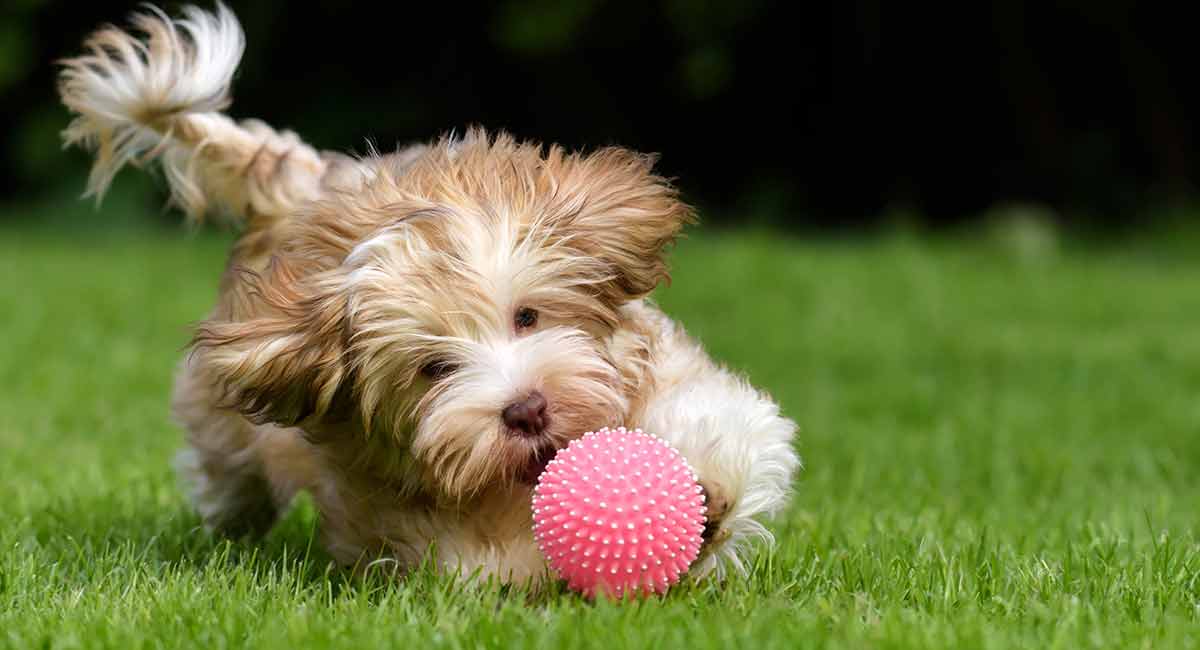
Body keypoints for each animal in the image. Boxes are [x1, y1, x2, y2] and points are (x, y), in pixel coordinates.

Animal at [60, 3, 801, 585]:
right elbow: (474, 560)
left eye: (527, 316)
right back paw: (227, 523)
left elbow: (723, 421)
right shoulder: (386, 503)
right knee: (228, 468)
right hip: (223, 419)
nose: (526, 410)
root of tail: (296, 189)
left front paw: (703, 495)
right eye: (434, 368)